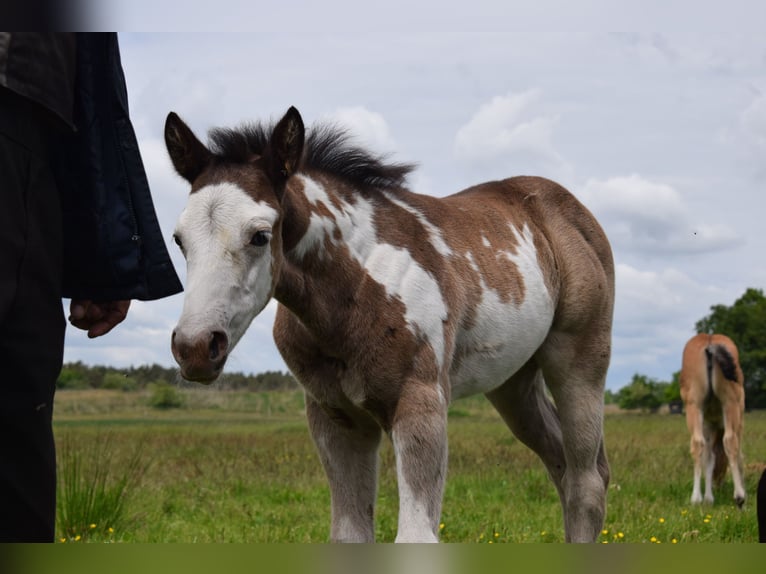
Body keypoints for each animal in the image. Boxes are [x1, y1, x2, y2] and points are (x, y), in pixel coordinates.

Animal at [164, 106, 615, 543]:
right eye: (179, 240)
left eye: (259, 235)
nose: (195, 348)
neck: (354, 290)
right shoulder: (336, 418)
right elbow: (349, 535)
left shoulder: (421, 402)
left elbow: (415, 536)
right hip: (513, 382)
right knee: (561, 464)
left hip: (579, 363)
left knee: (587, 483)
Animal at [679, 333, 746, 507]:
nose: (718, 484)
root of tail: (710, 343)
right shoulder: (738, 424)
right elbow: (738, 456)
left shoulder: (708, 425)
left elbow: (709, 459)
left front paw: (708, 498)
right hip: (730, 403)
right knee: (730, 442)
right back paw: (739, 496)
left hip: (694, 406)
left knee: (697, 444)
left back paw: (696, 498)